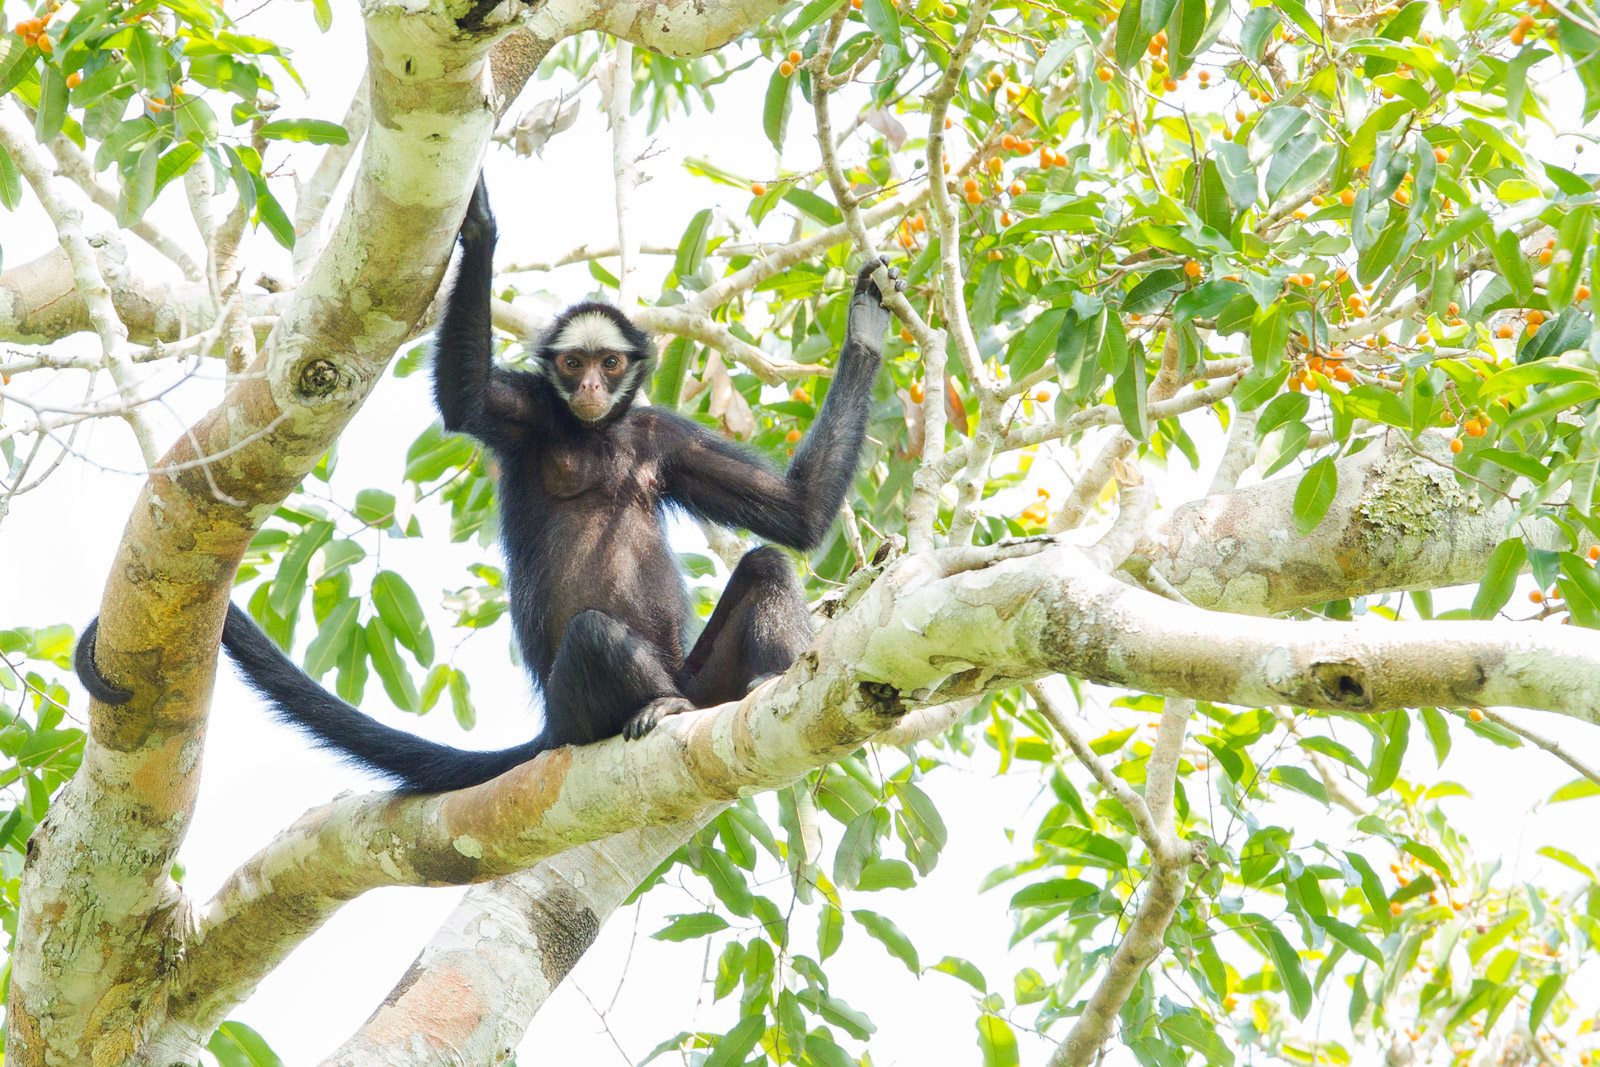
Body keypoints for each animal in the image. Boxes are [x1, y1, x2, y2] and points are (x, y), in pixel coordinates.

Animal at [74, 177, 905, 794]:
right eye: (572, 365)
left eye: (610, 364)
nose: (592, 387)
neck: (591, 436)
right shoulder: (531, 413)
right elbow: (464, 401)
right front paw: (478, 228)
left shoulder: (660, 437)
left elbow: (797, 518)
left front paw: (865, 327)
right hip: (582, 704)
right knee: (594, 632)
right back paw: (659, 704)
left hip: (707, 676)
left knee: (764, 565)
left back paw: (769, 685)